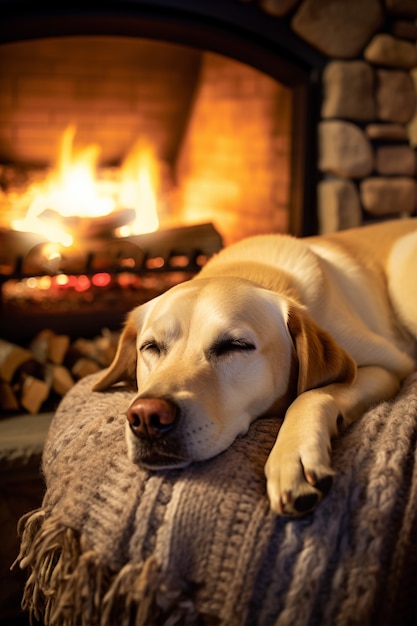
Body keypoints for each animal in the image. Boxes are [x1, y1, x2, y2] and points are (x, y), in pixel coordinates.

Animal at [94, 218, 416, 512]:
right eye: (150, 347)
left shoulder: (388, 368)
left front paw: (292, 456)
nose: (147, 417)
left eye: (235, 346)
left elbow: (310, 394)